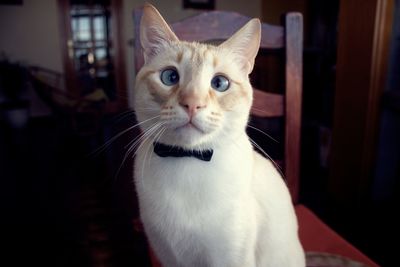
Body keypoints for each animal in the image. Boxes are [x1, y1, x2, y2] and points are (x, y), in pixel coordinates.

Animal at [133, 4, 304, 267]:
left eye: (220, 83)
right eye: (170, 77)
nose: (192, 104)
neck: (188, 160)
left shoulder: (230, 259)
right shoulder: (169, 258)